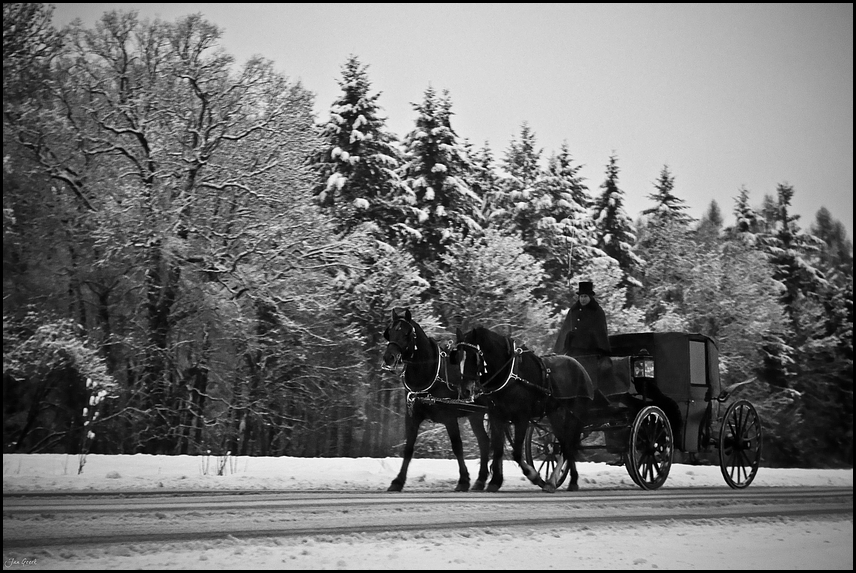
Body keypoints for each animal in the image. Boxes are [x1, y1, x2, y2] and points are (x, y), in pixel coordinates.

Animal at [382, 308, 488, 492]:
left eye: (406, 333)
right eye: (390, 332)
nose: (389, 357)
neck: (429, 373)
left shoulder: (450, 417)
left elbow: (457, 447)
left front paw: (463, 480)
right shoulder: (412, 416)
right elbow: (408, 448)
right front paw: (397, 481)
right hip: (475, 415)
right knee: (484, 442)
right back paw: (482, 480)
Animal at [448, 326, 596, 492]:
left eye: (474, 357)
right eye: (457, 357)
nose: (465, 391)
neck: (510, 376)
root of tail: (579, 366)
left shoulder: (522, 418)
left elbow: (517, 453)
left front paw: (533, 475)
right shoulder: (496, 416)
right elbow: (498, 448)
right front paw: (494, 482)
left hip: (574, 414)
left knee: (569, 444)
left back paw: (569, 481)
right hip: (554, 414)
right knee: (565, 443)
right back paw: (555, 481)